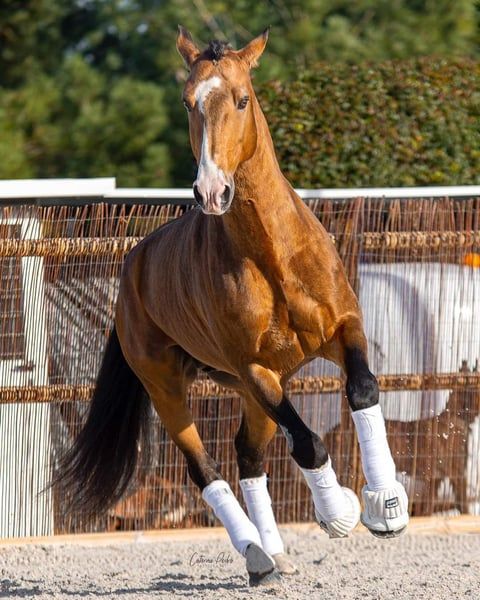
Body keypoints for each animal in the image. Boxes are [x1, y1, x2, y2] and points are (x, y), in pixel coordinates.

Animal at [55, 27, 409, 586]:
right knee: (206, 468)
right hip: (171, 388)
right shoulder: (255, 369)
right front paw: (339, 513)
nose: (212, 190)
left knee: (249, 457)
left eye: (242, 99)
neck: (273, 254)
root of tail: (133, 266)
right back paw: (257, 554)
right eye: (187, 103)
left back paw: (275, 556)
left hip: (254, 390)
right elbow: (307, 443)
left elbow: (363, 388)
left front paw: (386, 506)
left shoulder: (340, 331)